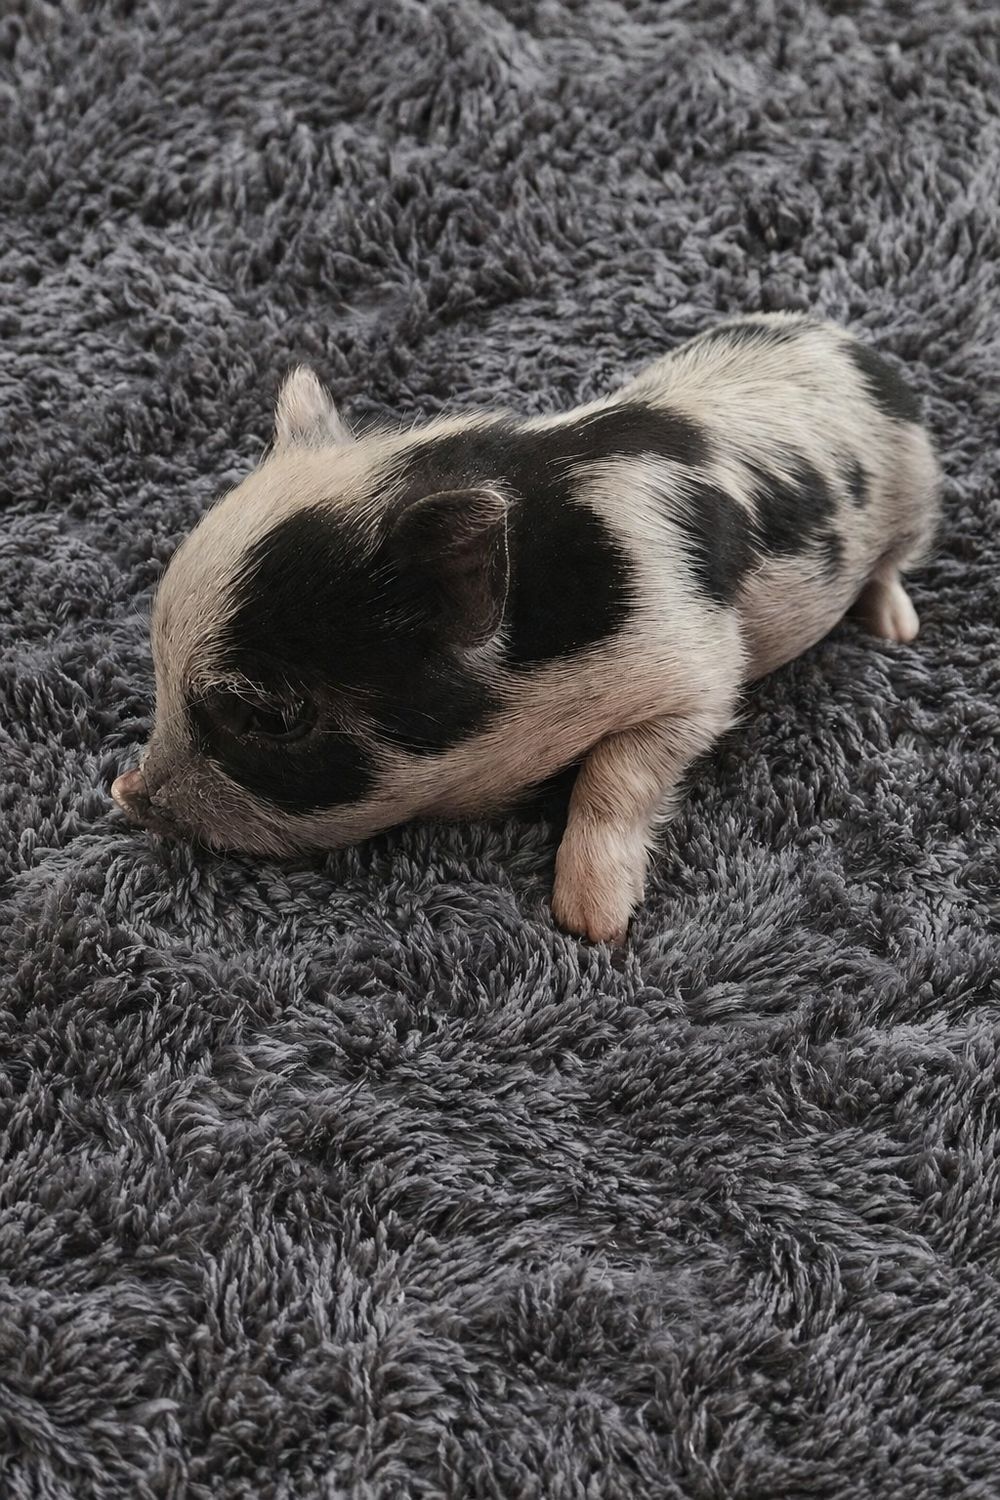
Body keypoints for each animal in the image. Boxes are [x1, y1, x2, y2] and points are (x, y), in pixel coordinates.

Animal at [112, 313, 940, 942]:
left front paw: (589, 926)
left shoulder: (697, 672)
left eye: (270, 717)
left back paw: (896, 631)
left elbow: (615, 775)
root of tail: (860, 349)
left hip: (918, 496)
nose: (126, 793)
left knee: (893, 566)